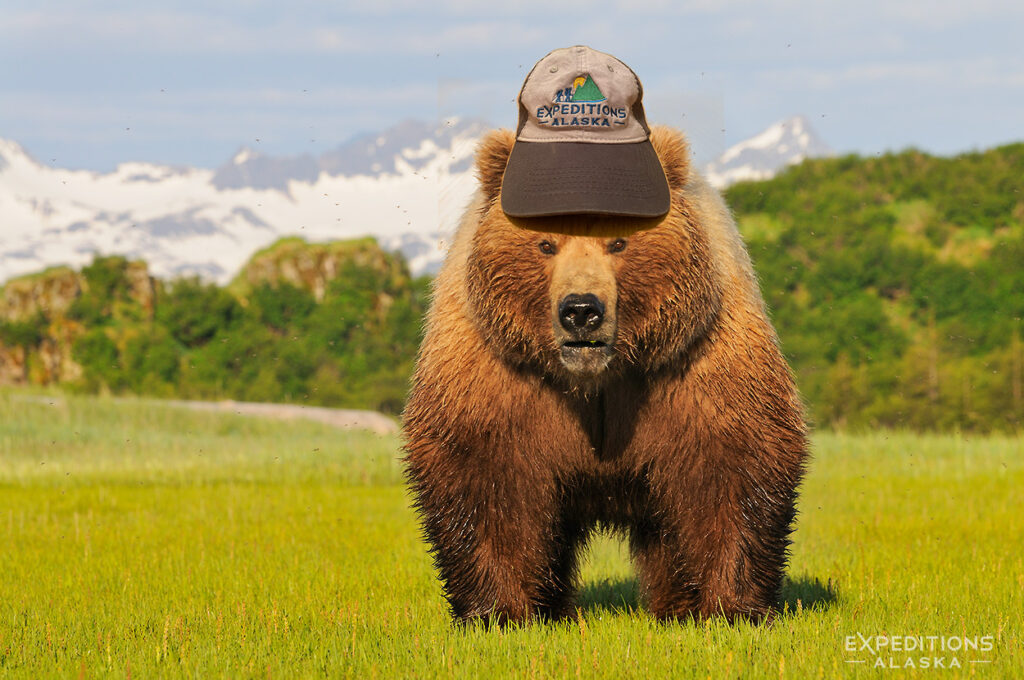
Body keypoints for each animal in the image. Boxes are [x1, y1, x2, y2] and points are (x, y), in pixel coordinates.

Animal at [402, 125, 808, 625]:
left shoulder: (696, 363)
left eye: (619, 242)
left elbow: (731, 464)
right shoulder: (496, 371)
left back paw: (676, 607)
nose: (580, 310)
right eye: (545, 244)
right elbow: (484, 473)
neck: (595, 380)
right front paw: (498, 611)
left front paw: (731, 608)